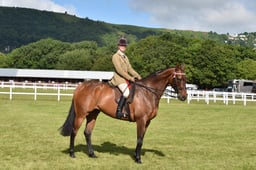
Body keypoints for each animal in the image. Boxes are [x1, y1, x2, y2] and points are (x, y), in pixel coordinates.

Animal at [59, 63, 187, 163]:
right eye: (178, 78)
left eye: (185, 79)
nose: (184, 97)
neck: (147, 92)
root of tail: (80, 86)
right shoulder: (141, 120)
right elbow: (139, 139)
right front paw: (138, 159)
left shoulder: (147, 122)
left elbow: (141, 138)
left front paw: (135, 155)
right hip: (81, 115)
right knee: (74, 132)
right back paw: (72, 153)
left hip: (93, 114)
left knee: (87, 133)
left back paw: (92, 154)